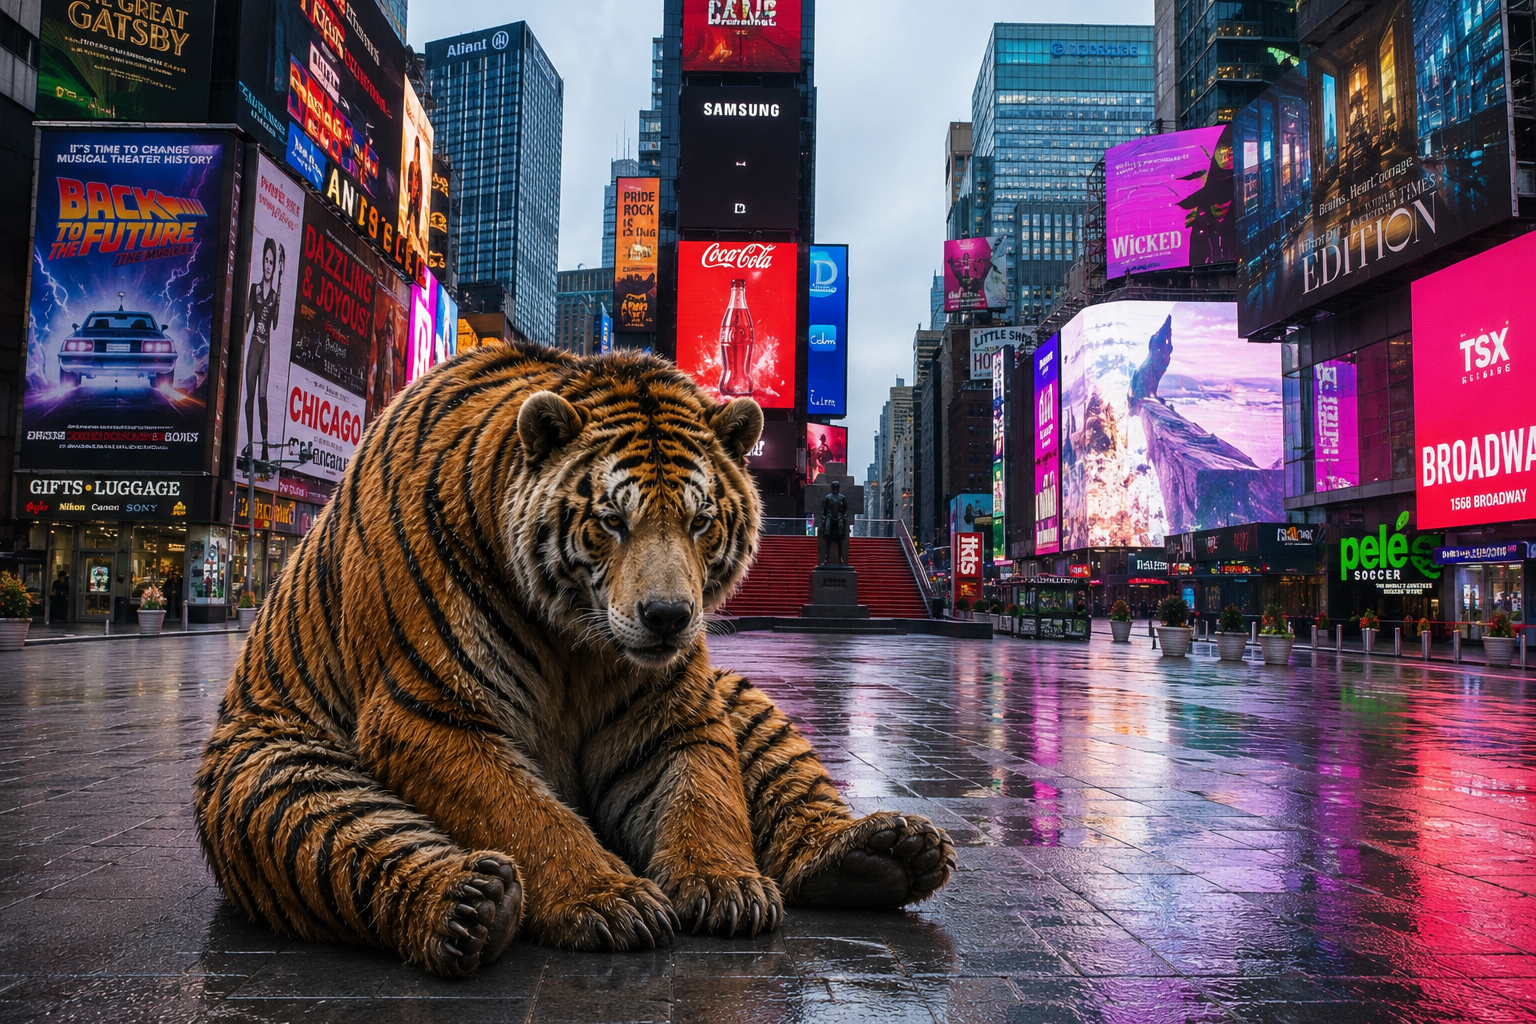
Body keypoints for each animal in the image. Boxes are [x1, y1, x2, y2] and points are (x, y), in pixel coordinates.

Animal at [193, 343, 955, 977]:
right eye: (613, 522)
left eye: (700, 521)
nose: (669, 617)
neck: (577, 642)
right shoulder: (430, 709)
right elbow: (523, 812)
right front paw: (607, 896)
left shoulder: (675, 711)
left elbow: (704, 795)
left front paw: (723, 882)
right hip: (275, 773)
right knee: (357, 839)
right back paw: (469, 904)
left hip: (743, 699)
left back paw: (880, 856)